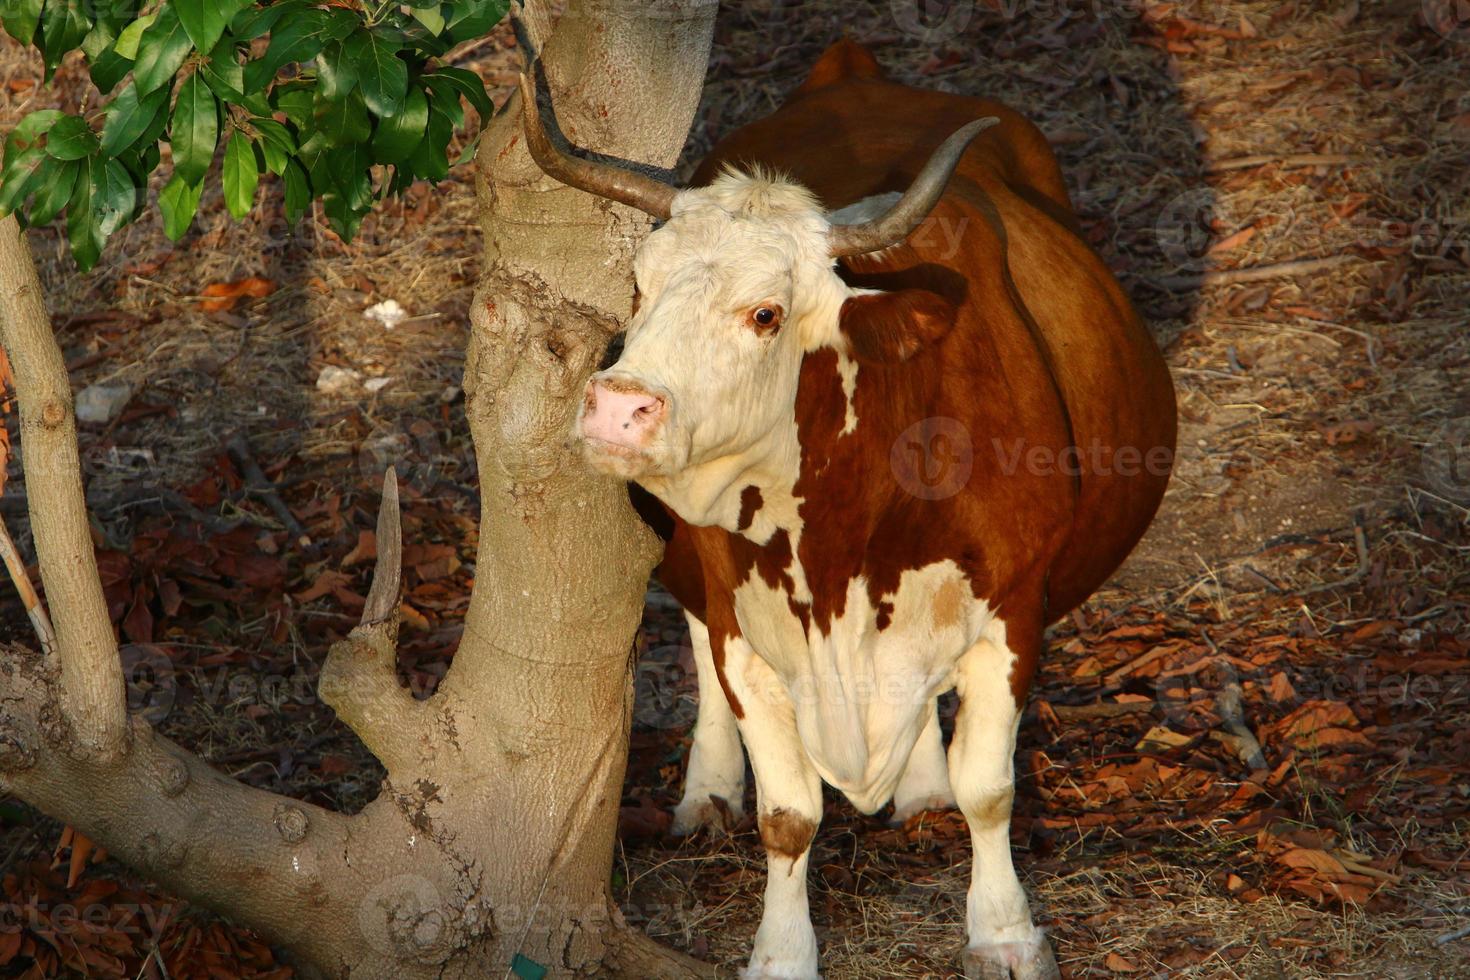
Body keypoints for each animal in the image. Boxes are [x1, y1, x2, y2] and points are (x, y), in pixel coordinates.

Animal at [523, 40, 1176, 980]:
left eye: (766, 312)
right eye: (638, 288)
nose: (616, 408)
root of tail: (857, 71)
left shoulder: (1014, 611)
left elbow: (989, 788)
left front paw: (1004, 931)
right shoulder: (746, 626)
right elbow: (788, 815)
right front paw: (781, 952)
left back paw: (922, 785)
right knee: (692, 629)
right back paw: (709, 787)